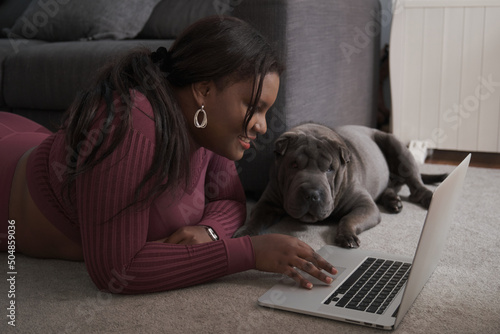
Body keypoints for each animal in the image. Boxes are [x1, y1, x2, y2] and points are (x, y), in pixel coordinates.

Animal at [232, 123, 448, 248]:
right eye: (293, 165)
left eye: (329, 168)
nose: (311, 193)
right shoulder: (267, 202)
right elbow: (255, 218)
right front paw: (243, 232)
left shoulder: (365, 206)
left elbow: (349, 219)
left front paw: (347, 235)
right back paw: (393, 201)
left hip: (396, 146)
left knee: (416, 185)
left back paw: (429, 198)